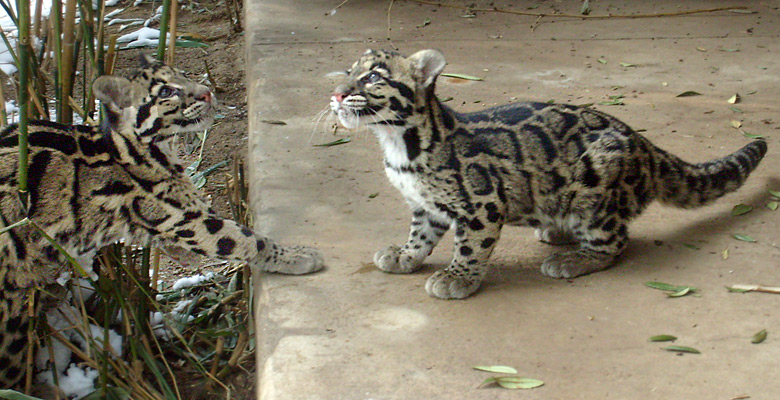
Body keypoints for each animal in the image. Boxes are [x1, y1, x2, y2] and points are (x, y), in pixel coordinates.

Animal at [0, 55, 322, 388]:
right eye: (166, 92)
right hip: (10, 312)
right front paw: (294, 255)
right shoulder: (178, 218)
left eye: (183, 75)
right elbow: (241, 237)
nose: (207, 92)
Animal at [330, 48, 768, 300]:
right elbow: (420, 235)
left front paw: (458, 278)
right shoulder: (425, 206)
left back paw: (574, 259)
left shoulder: (481, 204)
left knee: (615, 241)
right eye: (348, 71)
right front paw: (405, 255)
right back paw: (556, 231)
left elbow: (470, 246)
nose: (336, 94)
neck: (397, 142)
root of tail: (643, 143)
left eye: (373, 77)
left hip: (598, 186)